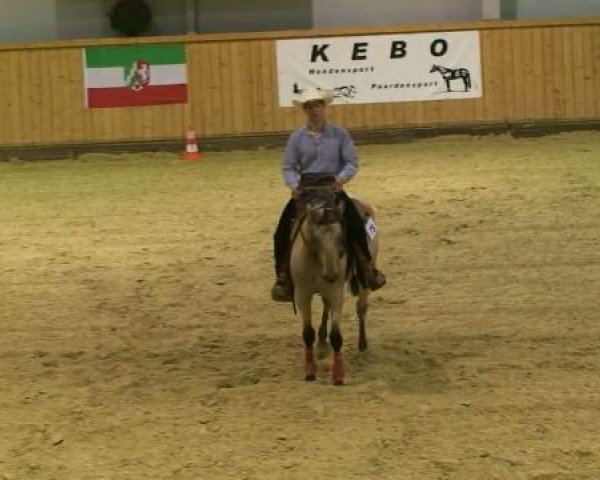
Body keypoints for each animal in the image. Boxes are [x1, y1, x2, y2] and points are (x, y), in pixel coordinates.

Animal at [288, 182, 378, 384]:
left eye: (341, 237)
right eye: (314, 236)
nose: (331, 275)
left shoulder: (336, 293)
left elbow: (336, 335)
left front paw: (338, 376)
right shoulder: (302, 294)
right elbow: (308, 333)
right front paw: (310, 371)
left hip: (364, 279)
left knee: (361, 308)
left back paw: (362, 344)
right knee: (325, 306)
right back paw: (322, 344)